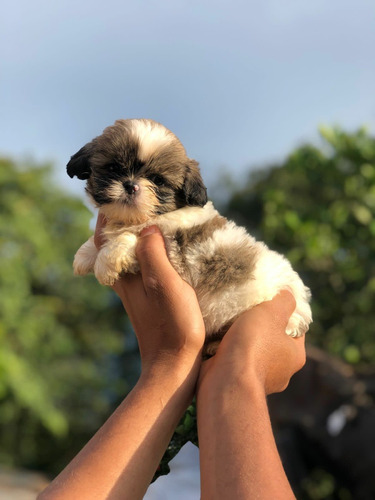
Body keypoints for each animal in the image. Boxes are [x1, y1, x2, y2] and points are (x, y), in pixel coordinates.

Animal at [67, 119, 312, 354]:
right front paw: (85, 255)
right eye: (113, 168)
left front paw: (105, 263)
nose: (130, 185)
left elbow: (128, 238)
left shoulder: (170, 248)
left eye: (157, 180)